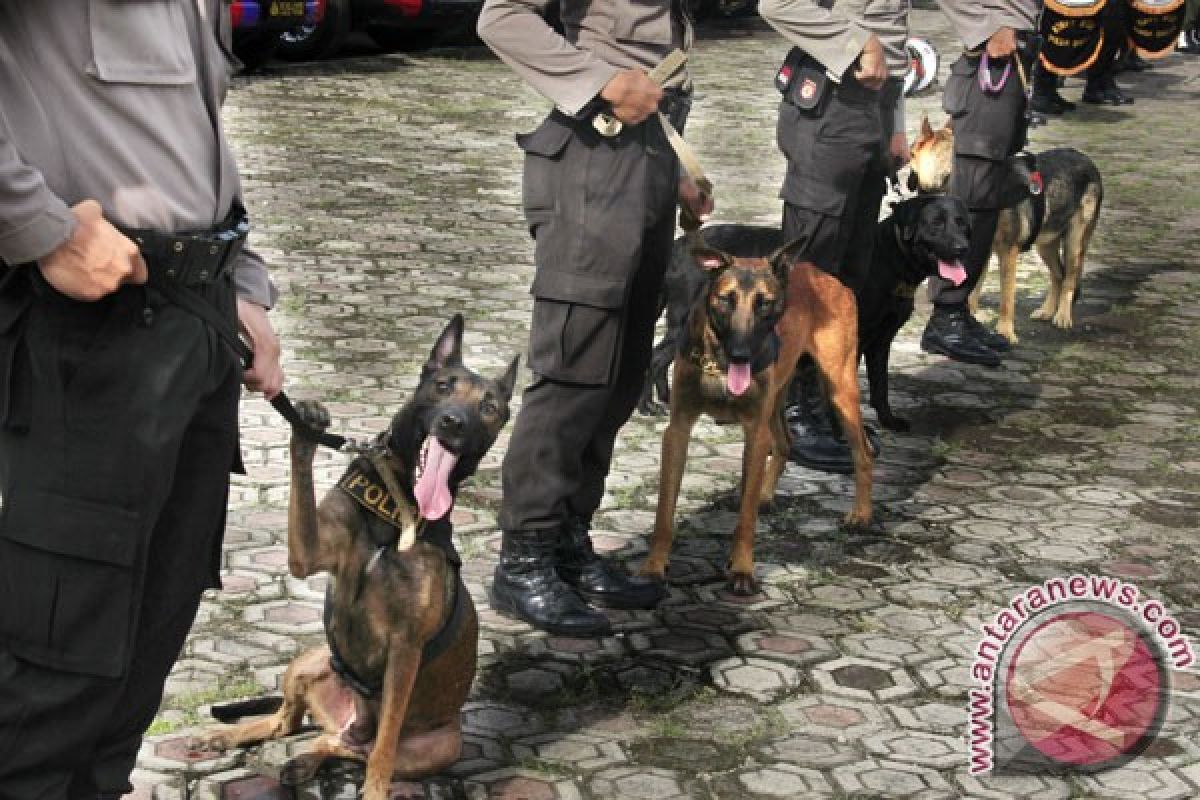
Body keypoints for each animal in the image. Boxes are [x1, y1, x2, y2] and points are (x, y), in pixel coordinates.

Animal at [195, 316, 516, 796]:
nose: (454, 423)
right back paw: (229, 737)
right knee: (288, 723)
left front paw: (376, 790)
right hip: (307, 663)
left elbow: (383, 745)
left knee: (348, 745)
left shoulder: (405, 651)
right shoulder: (307, 555)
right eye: (442, 386)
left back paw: (309, 762)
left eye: (490, 407)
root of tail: (346, 722)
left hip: (439, 747)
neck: (398, 505)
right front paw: (306, 428)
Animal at [638, 237, 873, 594]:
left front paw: (742, 569)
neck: (719, 363)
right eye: (726, 299)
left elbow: (746, 519)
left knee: (863, 452)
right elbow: (664, 512)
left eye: (765, 304)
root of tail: (824, 275)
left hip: (840, 390)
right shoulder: (678, 430)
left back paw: (860, 514)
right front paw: (653, 567)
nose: (741, 355)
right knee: (786, 442)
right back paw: (766, 494)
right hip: (778, 398)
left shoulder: (754, 432)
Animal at [912, 116, 1099, 345]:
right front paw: (970, 322)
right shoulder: (980, 249)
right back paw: (1047, 311)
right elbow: (972, 289)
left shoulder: (1008, 253)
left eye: (911, 153)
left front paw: (1005, 332)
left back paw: (1062, 315)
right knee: (1058, 276)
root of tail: (1086, 159)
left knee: (1069, 279)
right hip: (1045, 245)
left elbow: (1006, 299)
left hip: (1074, 245)